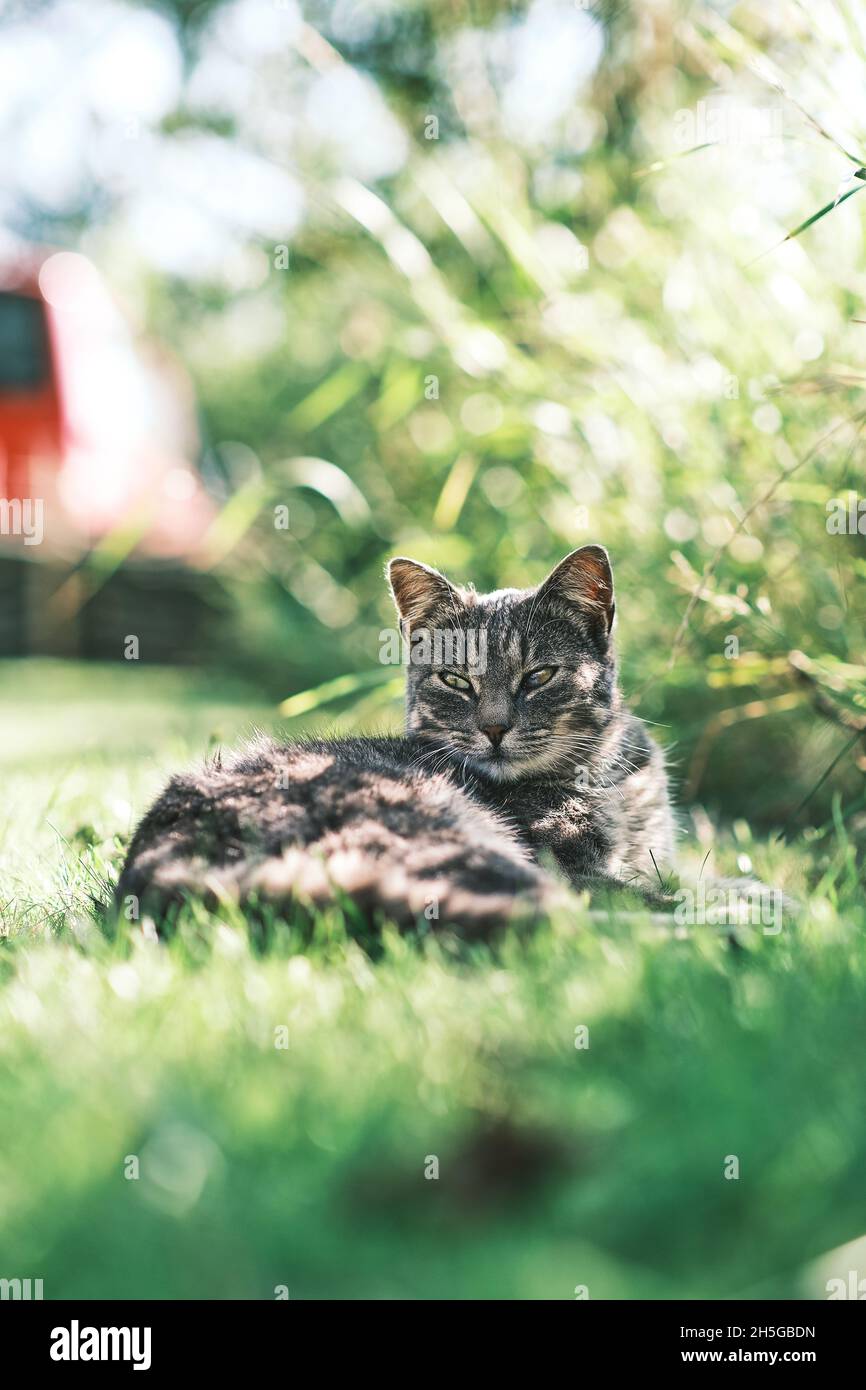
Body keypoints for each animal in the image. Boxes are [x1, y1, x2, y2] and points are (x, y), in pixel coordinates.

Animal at [113, 542, 678, 934]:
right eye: (455, 680)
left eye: (538, 676)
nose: (494, 728)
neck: (605, 775)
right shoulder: (569, 865)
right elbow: (637, 888)